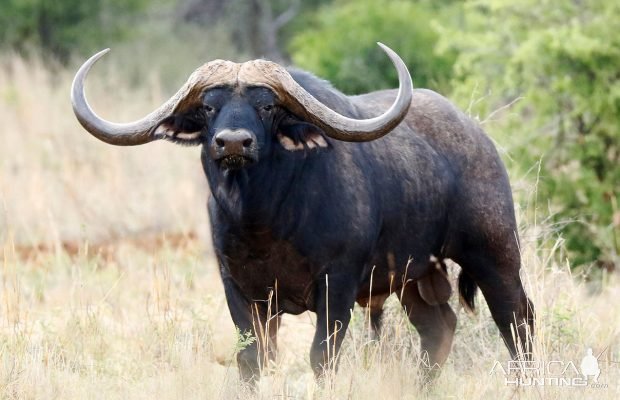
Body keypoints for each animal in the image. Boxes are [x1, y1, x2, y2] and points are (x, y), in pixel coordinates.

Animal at [71, 43, 532, 382]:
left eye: (267, 106)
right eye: (208, 107)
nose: (233, 143)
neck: (265, 221)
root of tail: (479, 137)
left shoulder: (338, 285)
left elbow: (321, 357)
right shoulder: (240, 290)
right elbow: (252, 359)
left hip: (494, 254)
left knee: (516, 320)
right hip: (413, 278)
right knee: (439, 327)